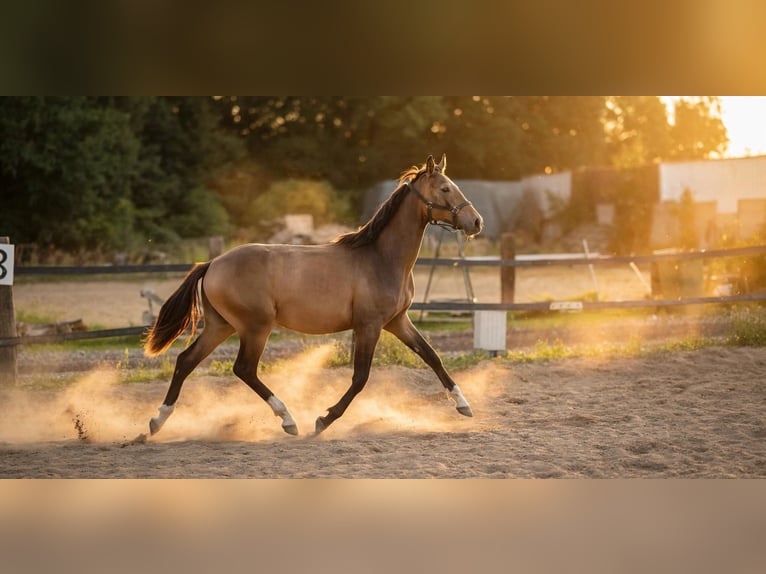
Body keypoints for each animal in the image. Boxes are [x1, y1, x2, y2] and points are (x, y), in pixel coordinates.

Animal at [143, 154, 484, 436]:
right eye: (445, 189)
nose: (476, 222)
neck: (381, 258)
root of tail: (212, 263)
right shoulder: (369, 326)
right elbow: (360, 377)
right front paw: (324, 420)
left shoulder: (398, 321)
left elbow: (432, 356)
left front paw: (464, 405)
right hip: (255, 327)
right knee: (243, 369)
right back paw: (288, 419)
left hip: (220, 326)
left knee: (186, 361)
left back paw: (157, 422)